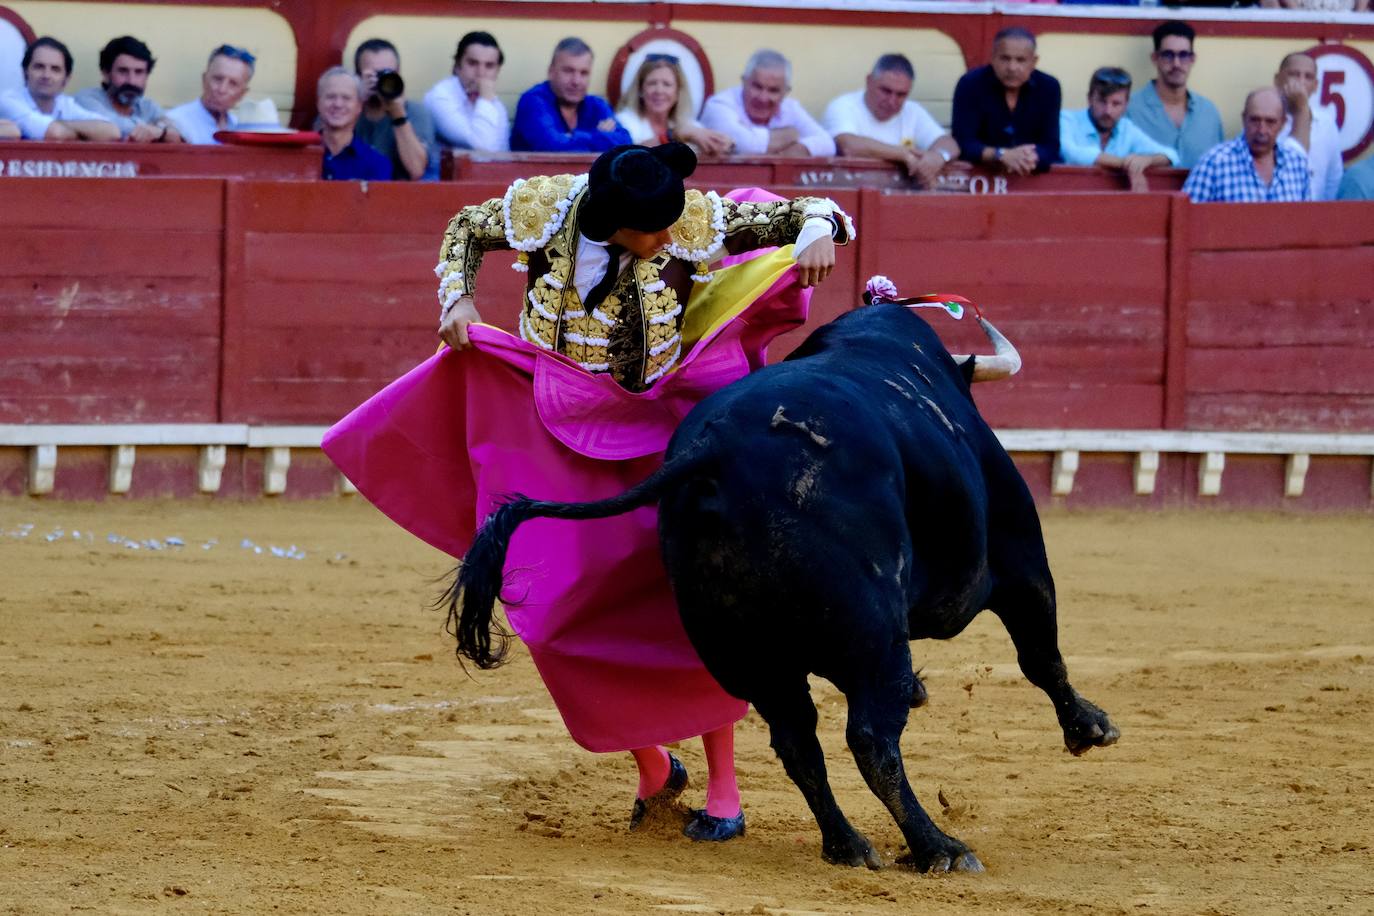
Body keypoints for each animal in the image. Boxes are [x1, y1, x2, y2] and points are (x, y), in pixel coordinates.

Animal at [450, 302, 1115, 873]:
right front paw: (1090, 727)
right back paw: (938, 848)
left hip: (741, 650)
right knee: (871, 737)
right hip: (868, 631)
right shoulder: (1018, 554)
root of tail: (714, 449)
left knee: (798, 742)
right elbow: (1041, 652)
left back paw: (848, 845)